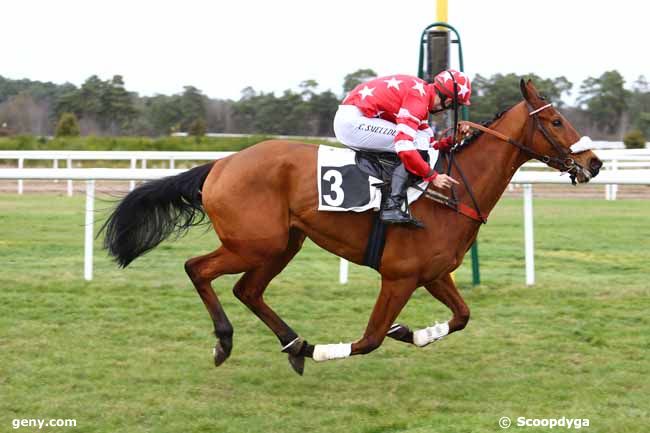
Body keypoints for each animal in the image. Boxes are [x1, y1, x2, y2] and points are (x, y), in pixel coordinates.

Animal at [102, 80, 604, 374]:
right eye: (556, 120)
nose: (595, 163)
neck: (453, 190)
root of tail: (221, 164)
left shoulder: (433, 273)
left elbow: (461, 317)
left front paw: (412, 333)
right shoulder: (399, 277)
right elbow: (369, 339)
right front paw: (329, 349)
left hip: (283, 244)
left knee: (248, 290)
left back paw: (293, 345)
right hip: (254, 243)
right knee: (197, 268)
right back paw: (228, 342)